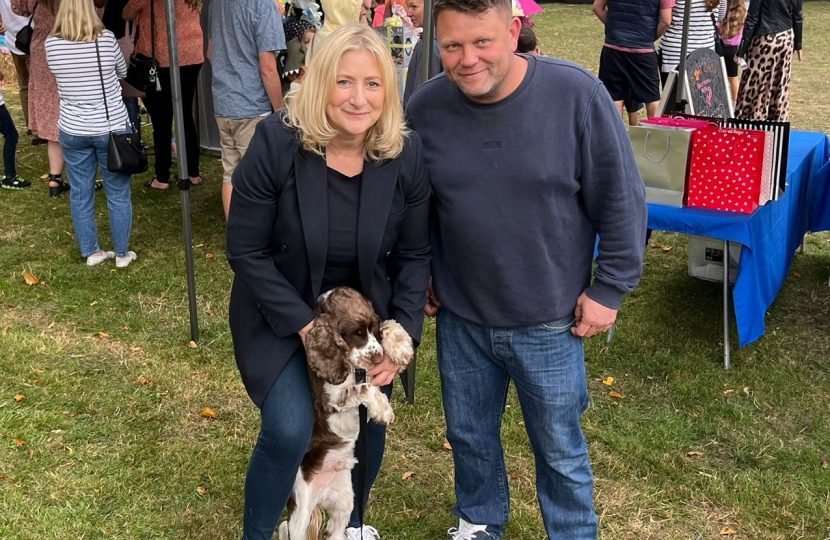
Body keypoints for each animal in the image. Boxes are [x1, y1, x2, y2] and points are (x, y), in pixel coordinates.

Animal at [278, 286, 414, 540]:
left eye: (372, 329)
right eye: (356, 333)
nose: (378, 357)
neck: (351, 367)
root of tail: (322, 494)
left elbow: (390, 323)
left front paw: (401, 348)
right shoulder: (333, 401)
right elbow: (363, 387)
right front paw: (383, 409)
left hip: (345, 500)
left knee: (335, 532)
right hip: (301, 510)